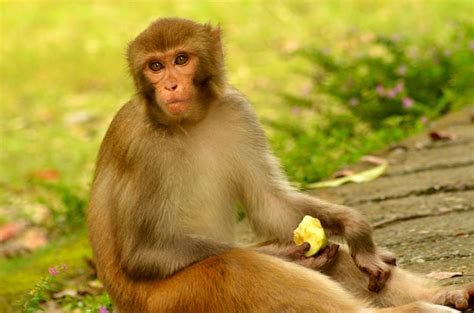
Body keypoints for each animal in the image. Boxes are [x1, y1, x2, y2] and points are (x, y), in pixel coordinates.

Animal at [87, 18, 472, 310]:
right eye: (155, 66)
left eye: (180, 59)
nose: (169, 85)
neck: (188, 124)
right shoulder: (140, 146)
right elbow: (143, 253)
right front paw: (284, 252)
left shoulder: (237, 111)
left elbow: (269, 205)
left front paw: (357, 230)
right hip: (177, 300)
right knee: (236, 264)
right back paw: (419, 306)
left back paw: (445, 295)